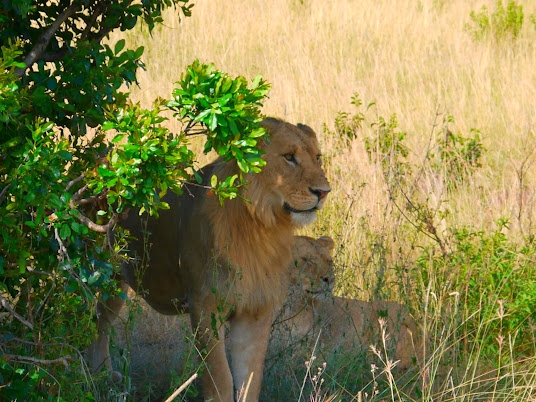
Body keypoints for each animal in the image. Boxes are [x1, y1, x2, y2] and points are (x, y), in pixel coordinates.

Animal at [87, 118, 330, 402]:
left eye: (317, 157)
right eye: (289, 157)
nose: (324, 192)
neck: (260, 227)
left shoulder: (256, 312)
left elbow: (249, 380)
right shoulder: (205, 306)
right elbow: (220, 378)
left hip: (115, 282)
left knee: (101, 321)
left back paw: (102, 375)